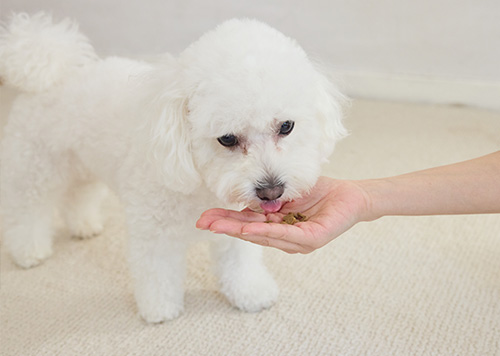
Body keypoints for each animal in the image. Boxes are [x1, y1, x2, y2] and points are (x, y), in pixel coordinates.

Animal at [0, 12, 348, 322]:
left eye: (286, 126)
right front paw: (160, 310)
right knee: (27, 212)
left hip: (83, 164)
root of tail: (52, 73)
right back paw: (29, 251)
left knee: (78, 194)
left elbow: (239, 264)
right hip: (36, 166)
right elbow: (157, 272)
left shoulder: (234, 234)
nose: (271, 191)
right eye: (227, 138)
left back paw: (85, 226)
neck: (200, 183)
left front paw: (251, 294)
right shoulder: (154, 233)